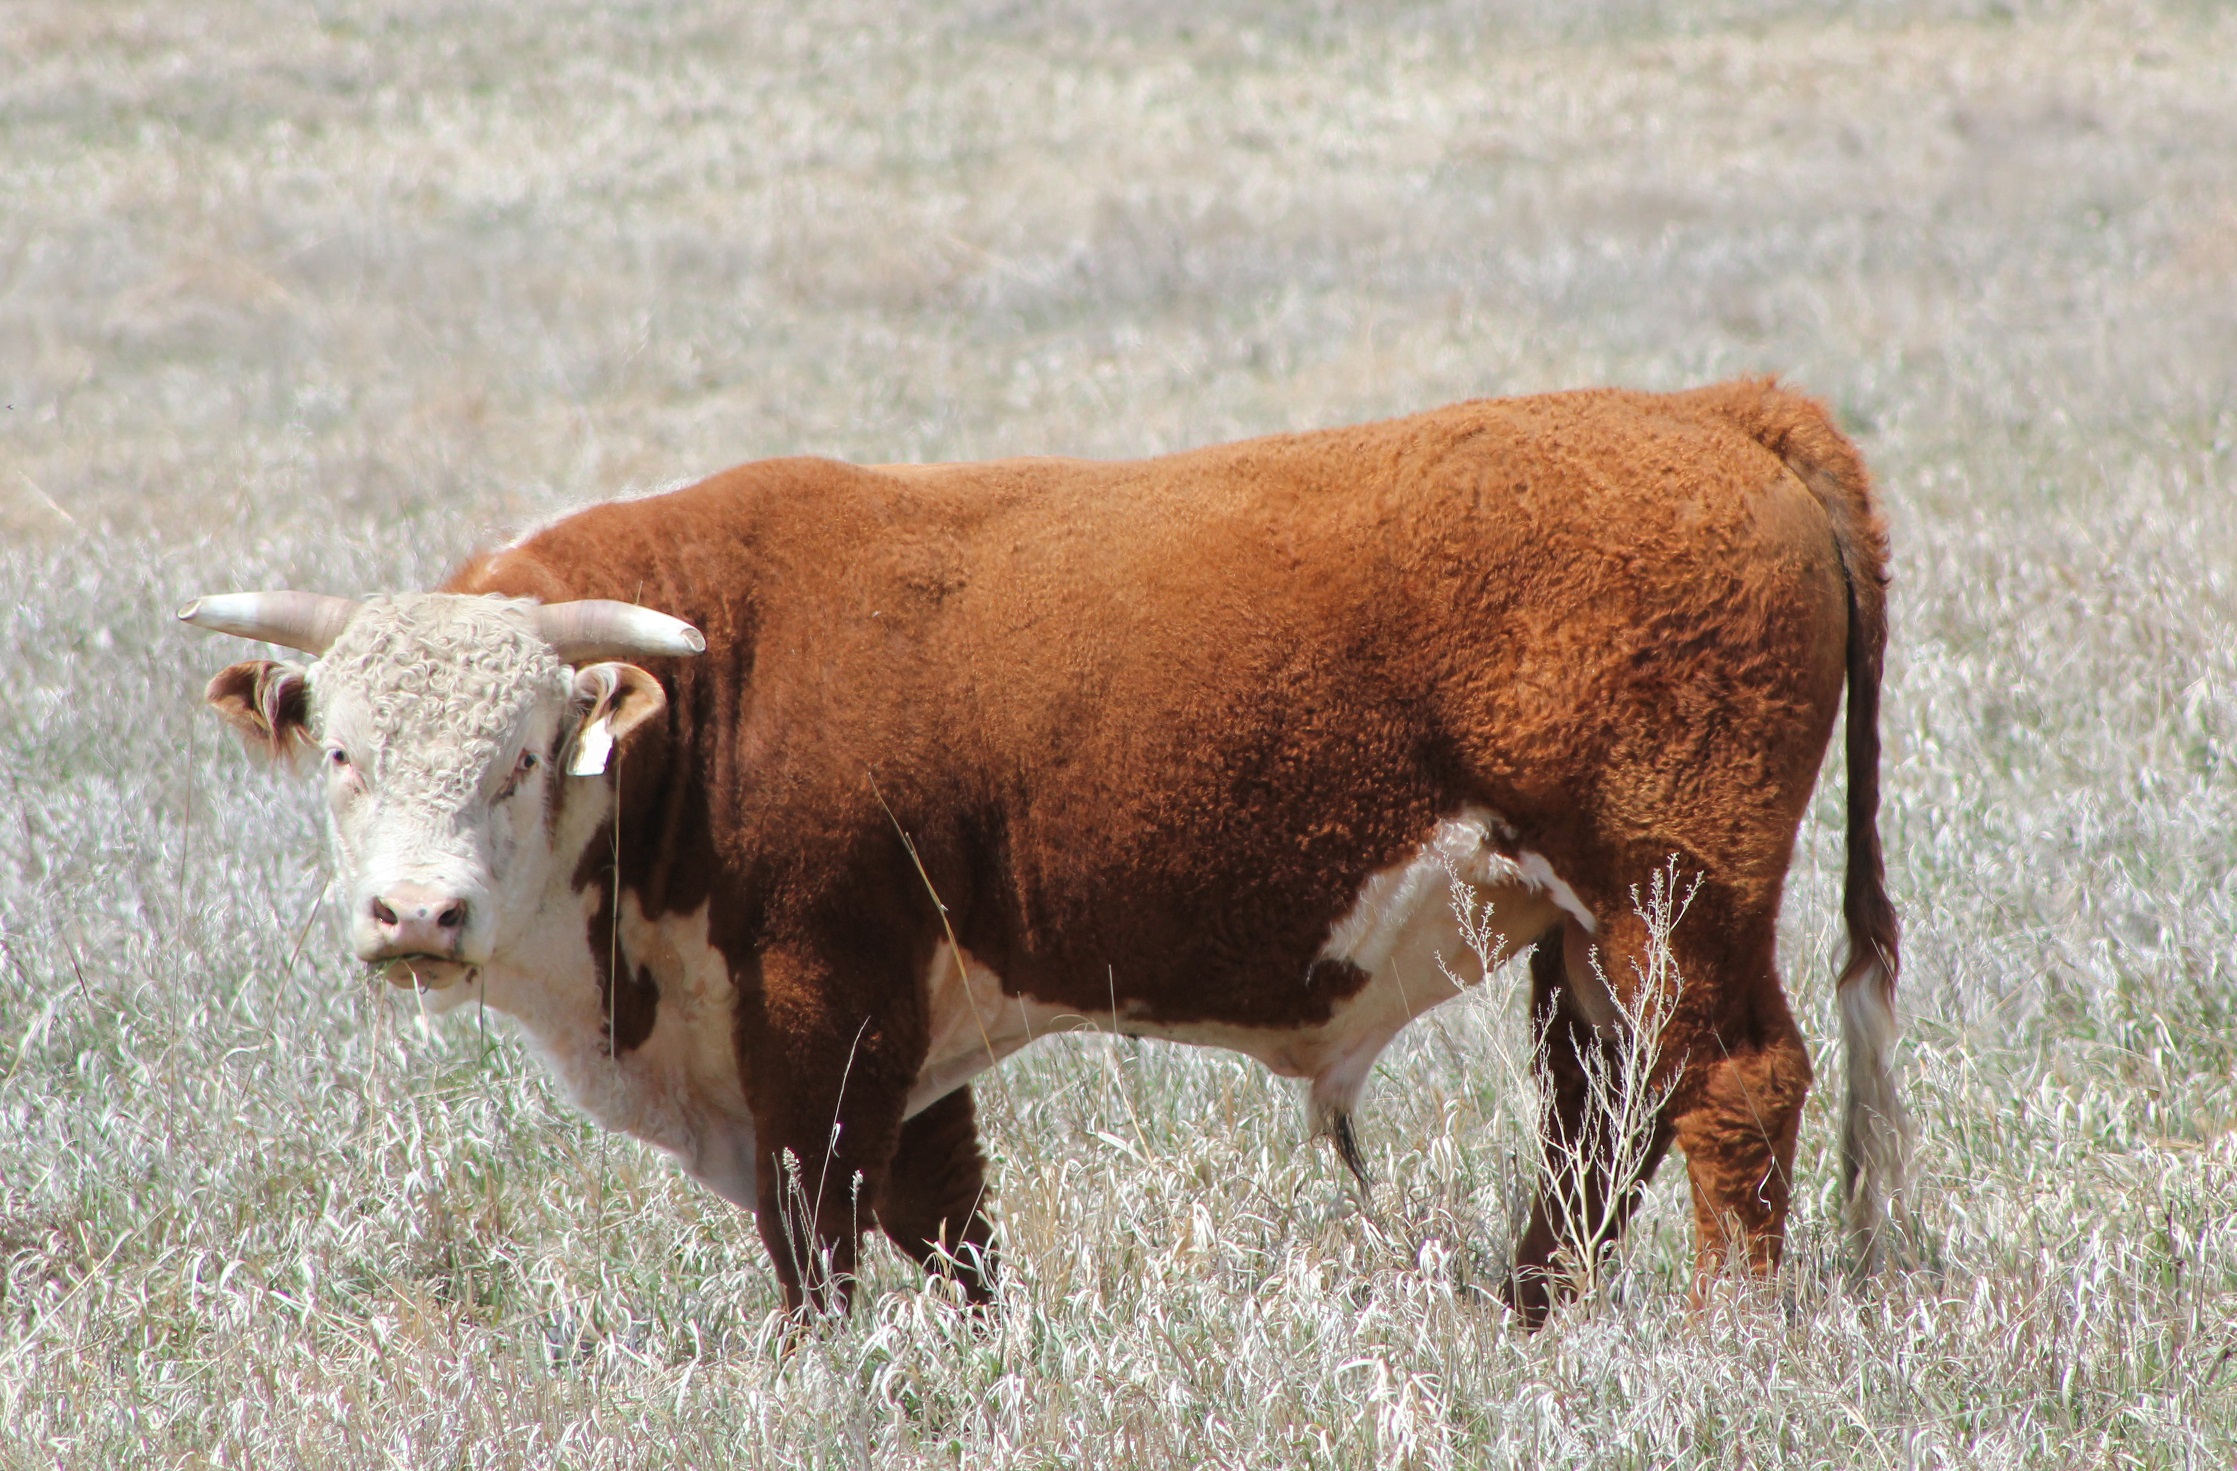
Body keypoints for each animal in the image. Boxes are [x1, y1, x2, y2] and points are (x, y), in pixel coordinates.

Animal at [183, 375, 1914, 1314]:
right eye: (340, 749)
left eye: (528, 752)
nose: (416, 915)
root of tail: (1716, 414)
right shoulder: (905, 1042)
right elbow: (947, 1222)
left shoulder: (823, 1004)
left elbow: (820, 1223)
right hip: (1585, 934)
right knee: (1595, 1123)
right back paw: (1533, 1317)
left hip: (1674, 897)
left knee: (1735, 1092)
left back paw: (1723, 1333)